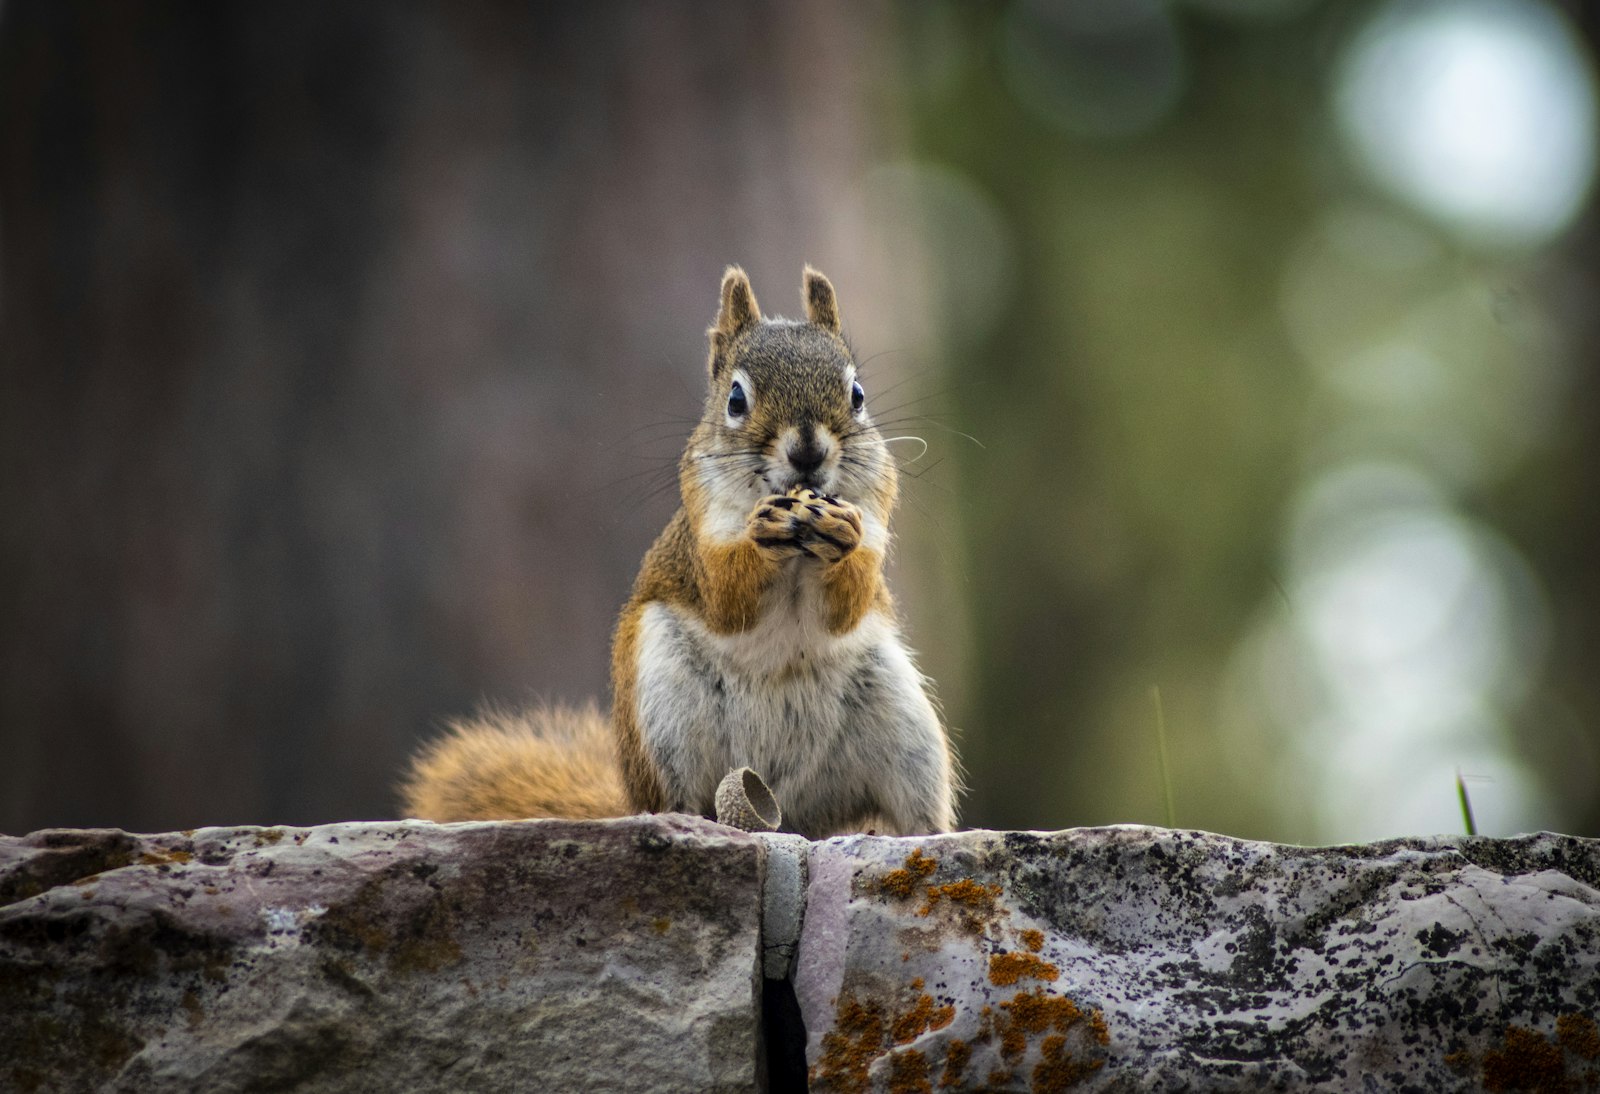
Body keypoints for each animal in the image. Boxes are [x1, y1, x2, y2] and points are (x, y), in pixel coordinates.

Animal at [398, 265, 953, 838]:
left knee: (916, 807)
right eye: (735, 399)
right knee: (676, 794)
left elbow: (849, 604)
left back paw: (927, 835)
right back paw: (682, 822)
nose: (808, 451)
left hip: (906, 726)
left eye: (858, 394)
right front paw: (761, 538)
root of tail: (786, 814)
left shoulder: (875, 516)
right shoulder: (700, 539)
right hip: (663, 705)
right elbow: (727, 598)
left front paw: (841, 535)